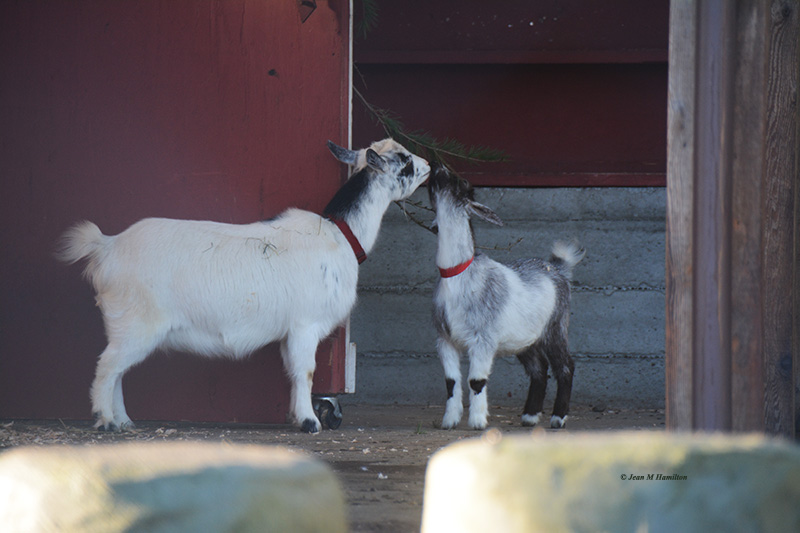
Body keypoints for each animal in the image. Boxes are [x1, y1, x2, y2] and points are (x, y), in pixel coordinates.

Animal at [57, 138, 432, 432]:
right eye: (405, 161)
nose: (430, 165)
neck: (340, 234)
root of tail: (107, 246)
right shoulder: (305, 324)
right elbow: (306, 372)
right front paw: (311, 422)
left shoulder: (289, 331)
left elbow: (292, 372)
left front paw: (298, 417)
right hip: (136, 322)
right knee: (108, 366)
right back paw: (106, 420)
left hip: (128, 327)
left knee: (117, 368)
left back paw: (123, 421)